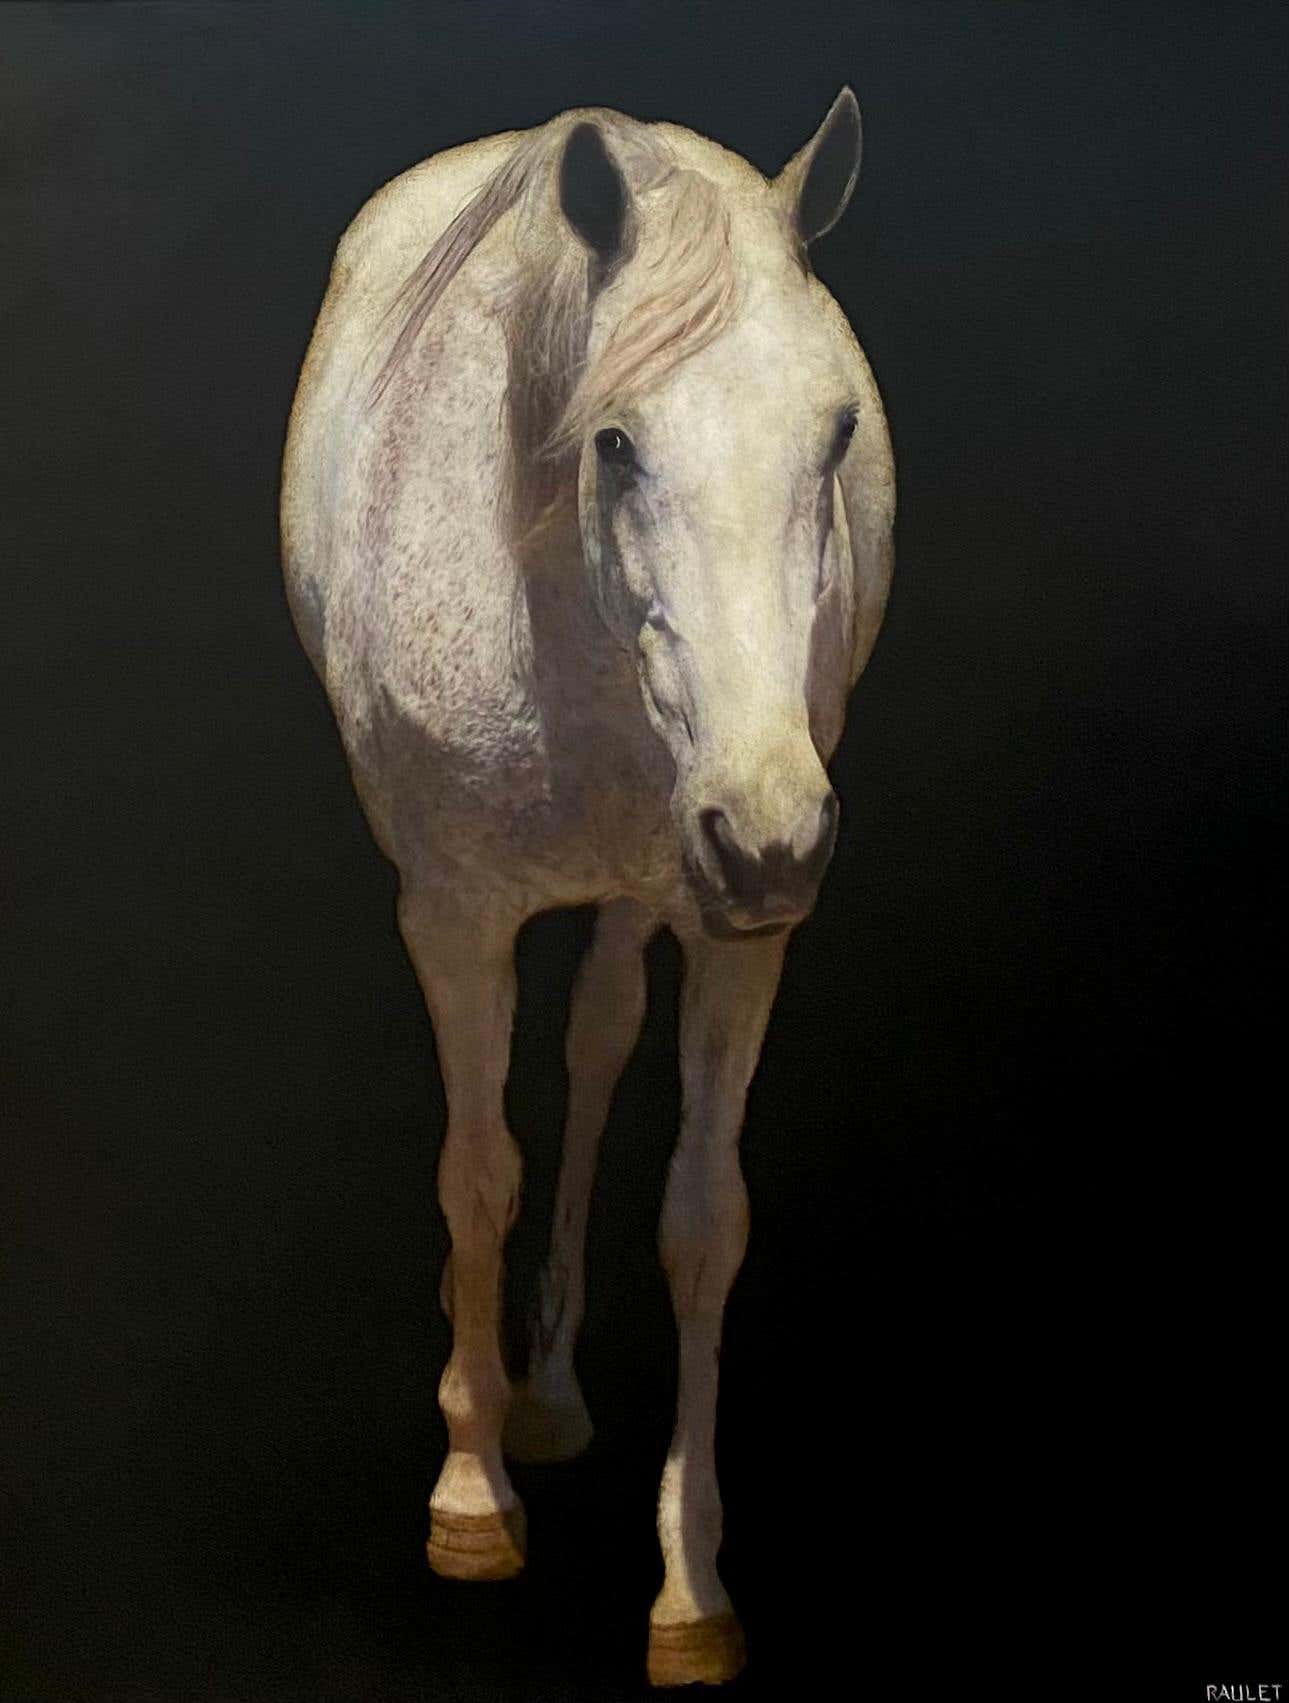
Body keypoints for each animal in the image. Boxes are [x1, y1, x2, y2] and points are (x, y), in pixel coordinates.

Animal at [280, 88, 894, 1687]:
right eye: (613, 440)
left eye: (835, 429)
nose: (772, 828)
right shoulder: (452, 917)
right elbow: (474, 1168)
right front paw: (468, 1491)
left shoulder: (742, 934)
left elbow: (701, 1214)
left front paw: (690, 1581)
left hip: (657, 897)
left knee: (602, 1038)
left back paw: (546, 1385)